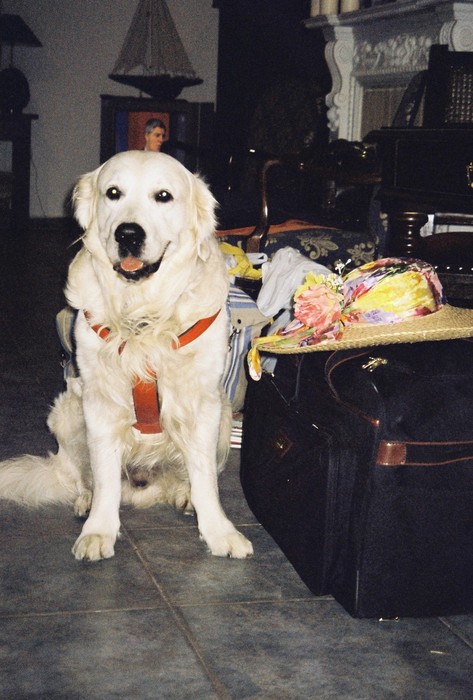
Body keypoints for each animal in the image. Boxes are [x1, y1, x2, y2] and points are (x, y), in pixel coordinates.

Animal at [0, 150, 253, 562]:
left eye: (163, 196)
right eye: (113, 193)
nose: (128, 233)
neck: (143, 316)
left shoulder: (202, 403)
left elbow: (205, 481)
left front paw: (219, 532)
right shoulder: (99, 403)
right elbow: (105, 480)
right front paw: (98, 531)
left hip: (224, 418)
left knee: (188, 476)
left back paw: (183, 495)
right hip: (68, 411)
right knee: (87, 478)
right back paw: (87, 501)